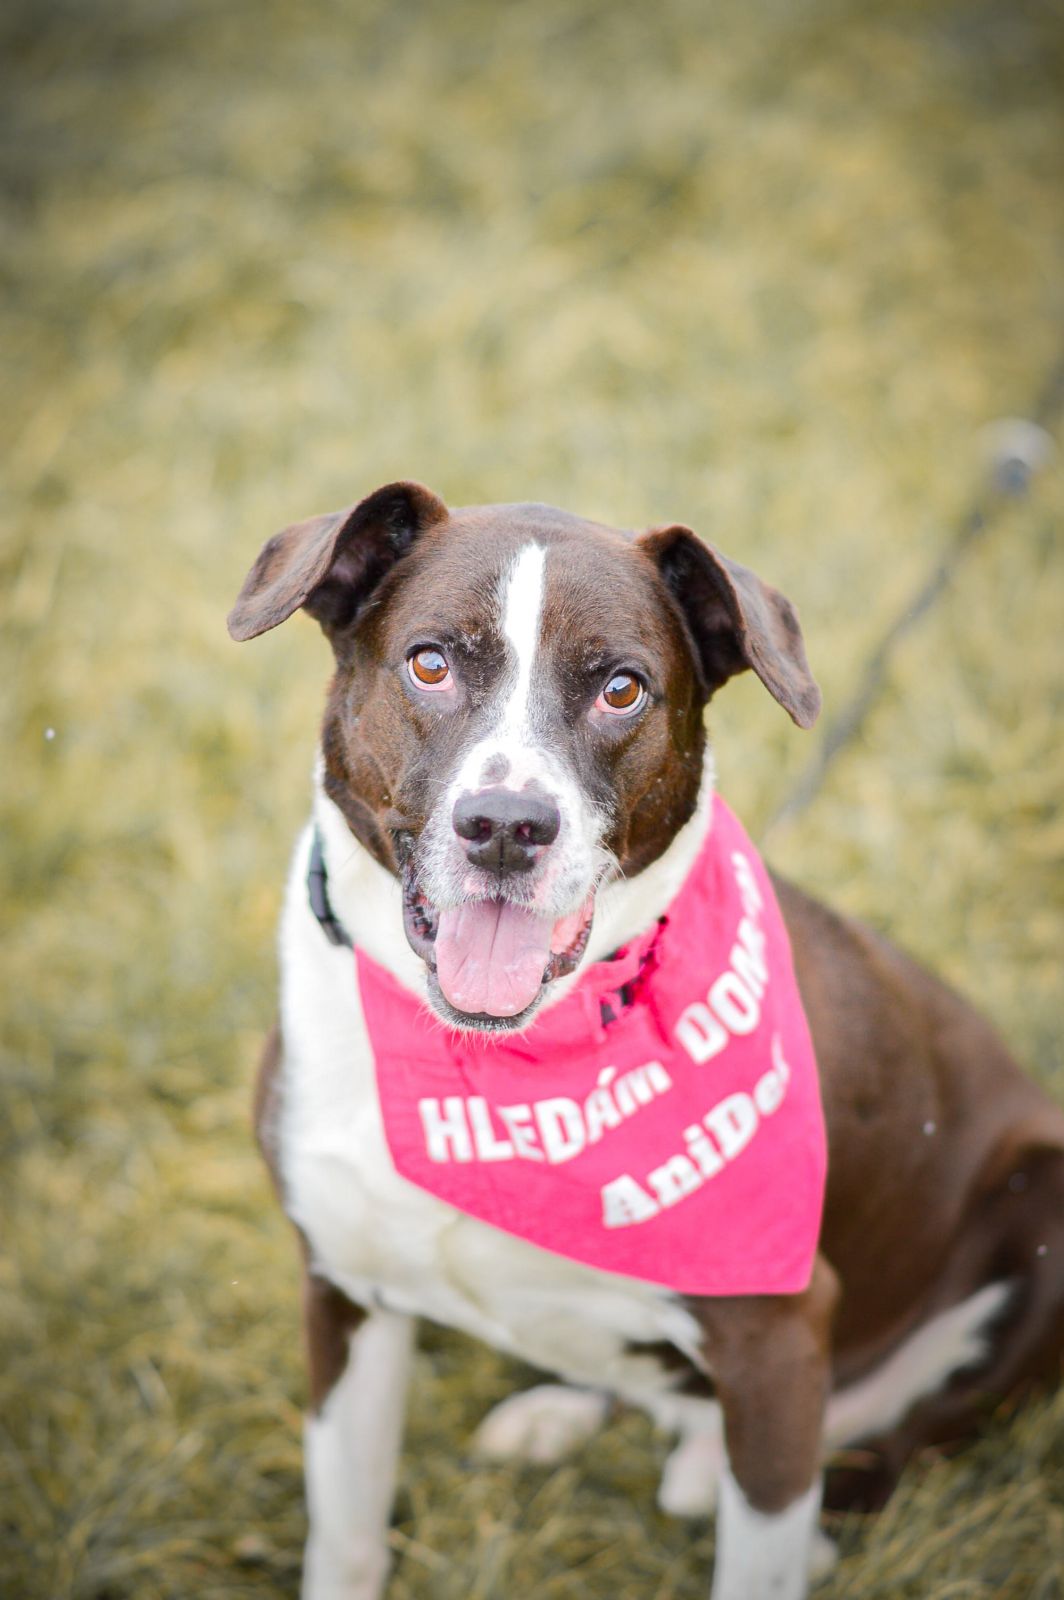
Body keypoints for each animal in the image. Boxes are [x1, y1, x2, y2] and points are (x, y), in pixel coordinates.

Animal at [229, 481, 1064, 1600]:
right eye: (430, 663)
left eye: (621, 690)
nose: (506, 826)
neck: (495, 1066)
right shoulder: (343, 1291)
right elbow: (348, 1534)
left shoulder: (777, 1339)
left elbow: (760, 1560)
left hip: (1041, 1205)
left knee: (909, 1434)